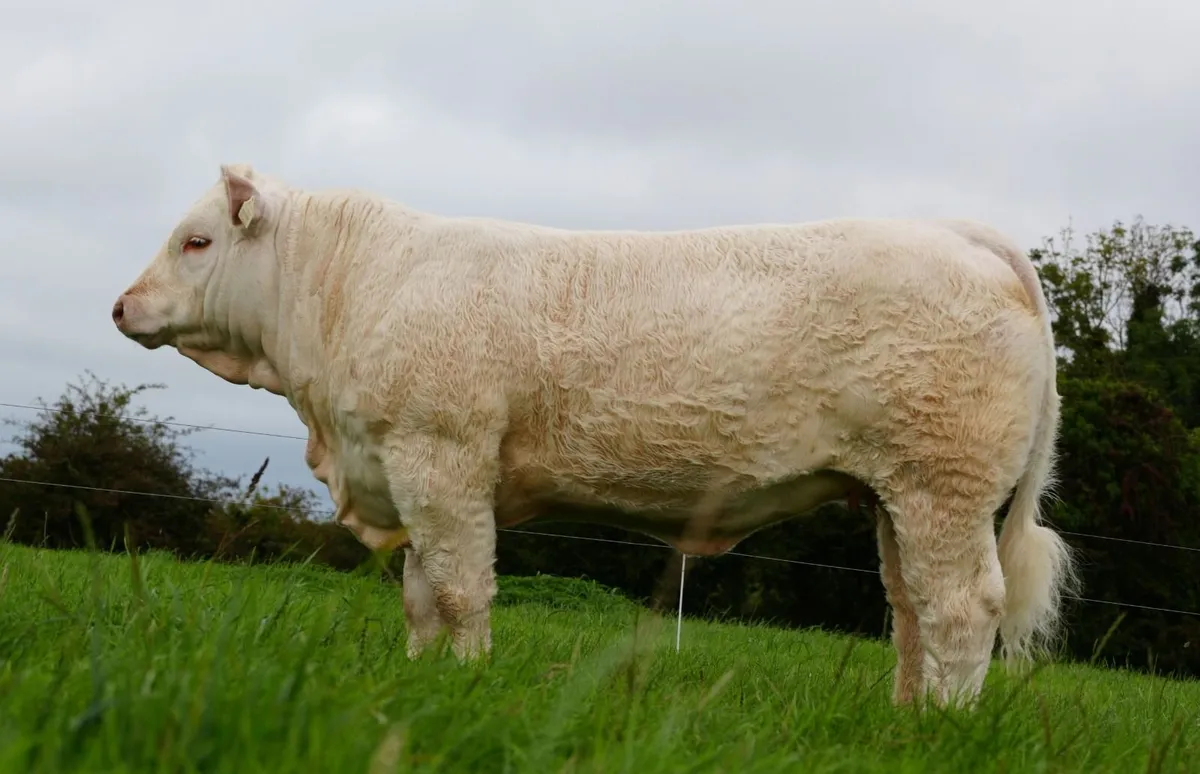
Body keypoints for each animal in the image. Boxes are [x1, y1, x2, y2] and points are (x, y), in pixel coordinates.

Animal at [111, 163, 1076, 708]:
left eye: (196, 241)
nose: (121, 306)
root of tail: (958, 232)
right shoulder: (409, 465)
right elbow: (421, 597)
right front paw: (422, 681)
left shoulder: (441, 456)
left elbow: (461, 590)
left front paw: (466, 685)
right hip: (893, 494)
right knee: (910, 609)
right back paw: (904, 718)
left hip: (942, 483)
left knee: (962, 608)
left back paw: (944, 723)